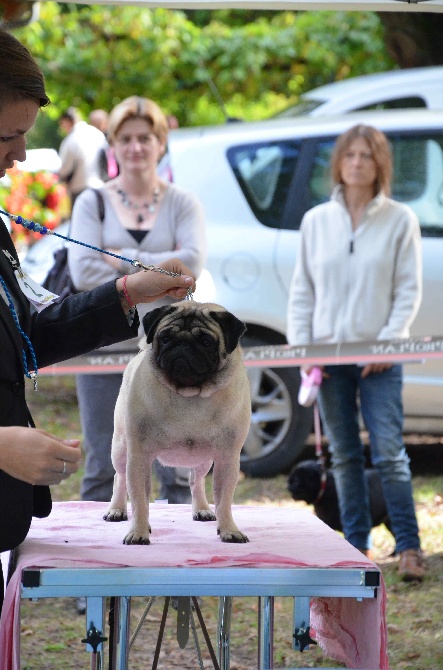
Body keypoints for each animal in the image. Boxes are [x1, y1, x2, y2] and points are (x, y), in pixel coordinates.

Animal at [102, 304, 251, 544]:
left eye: (206, 341)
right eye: (165, 338)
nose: (182, 344)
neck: (189, 395)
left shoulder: (228, 458)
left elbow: (224, 501)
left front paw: (229, 529)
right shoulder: (139, 456)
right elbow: (140, 501)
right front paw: (139, 532)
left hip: (203, 460)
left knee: (196, 481)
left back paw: (201, 508)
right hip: (121, 447)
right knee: (120, 477)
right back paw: (116, 510)